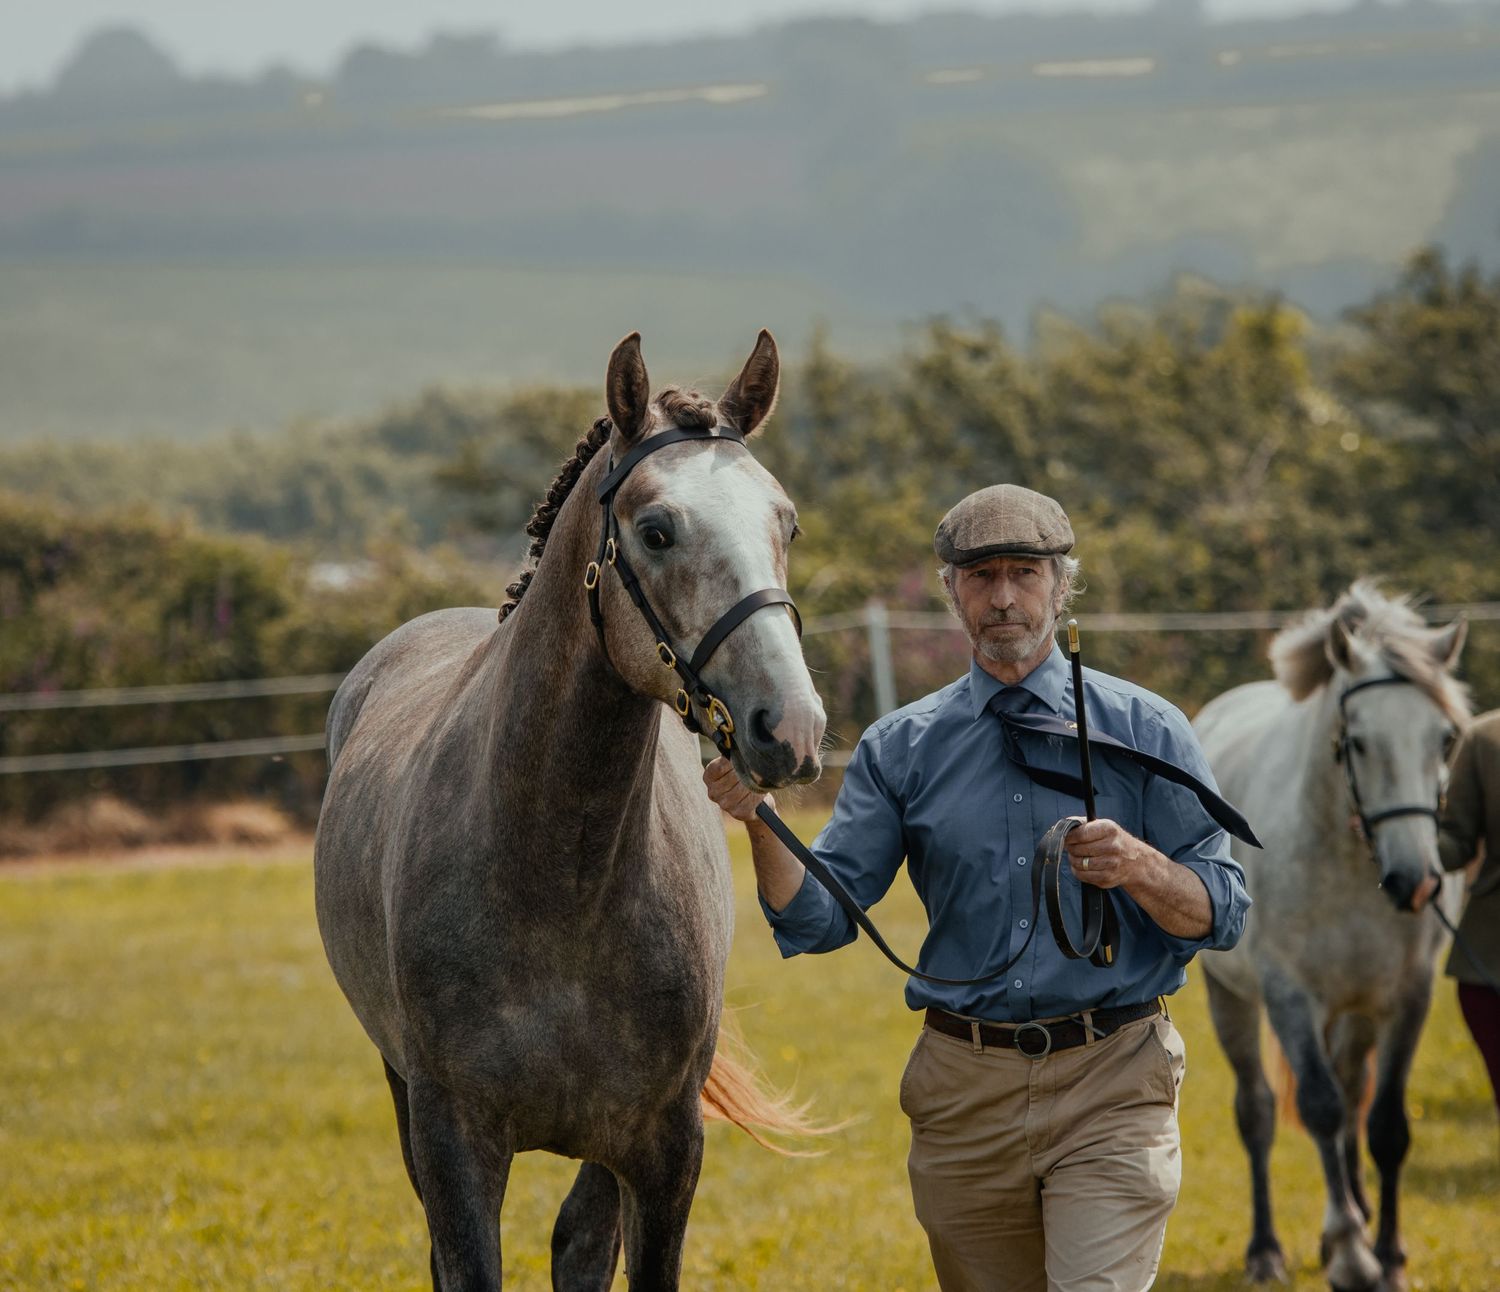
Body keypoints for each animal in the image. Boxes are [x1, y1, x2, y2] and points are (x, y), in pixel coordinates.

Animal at [312, 330, 827, 1291]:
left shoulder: (662, 1150)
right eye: (656, 531)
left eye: (787, 524)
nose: (792, 727)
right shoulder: (455, 1145)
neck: (560, 882)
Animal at [1193, 581, 1468, 1291]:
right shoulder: (1289, 995)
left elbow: (1386, 1124)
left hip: (1357, 1012)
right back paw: (1267, 1250)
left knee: (1353, 1090)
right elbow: (1316, 1108)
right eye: (1359, 742)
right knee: (1259, 1111)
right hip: (1232, 999)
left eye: (1445, 740)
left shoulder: (1409, 997)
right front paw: (1349, 1254)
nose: (1415, 882)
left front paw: (1389, 1254)